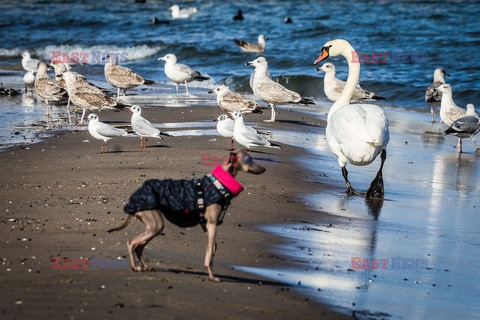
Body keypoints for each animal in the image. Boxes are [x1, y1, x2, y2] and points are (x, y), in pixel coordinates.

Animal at [107, 151, 266, 282]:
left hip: (153, 225)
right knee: (132, 242)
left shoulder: (206, 225)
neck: (219, 184)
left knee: (139, 247)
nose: (264, 169)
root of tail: (134, 198)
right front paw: (212, 276)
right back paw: (135, 267)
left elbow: (212, 248)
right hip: (155, 224)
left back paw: (145, 266)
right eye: (249, 159)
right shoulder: (212, 224)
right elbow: (210, 256)